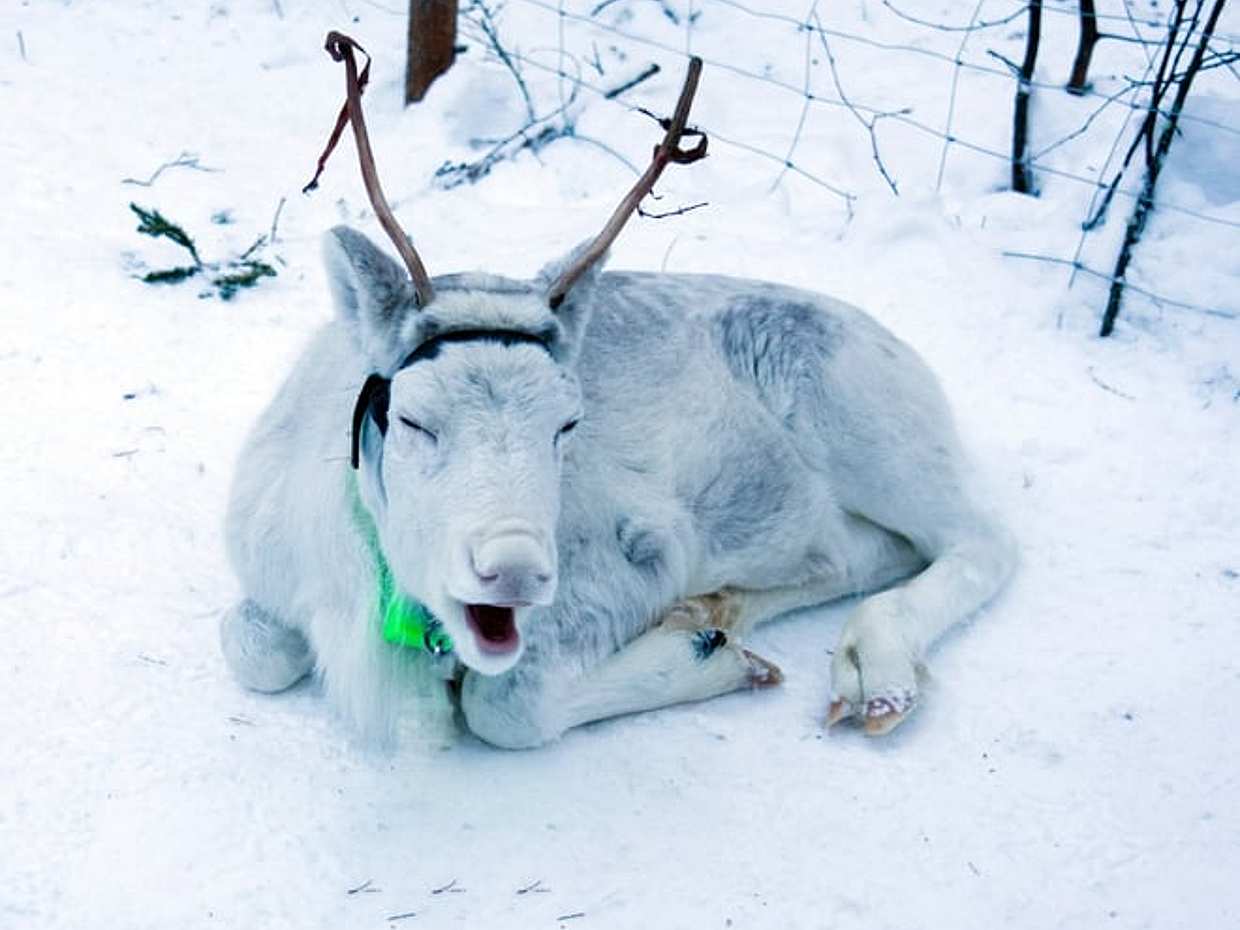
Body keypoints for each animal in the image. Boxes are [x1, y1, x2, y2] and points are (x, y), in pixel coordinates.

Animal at [221, 39, 1015, 748]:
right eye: (413, 419)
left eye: (567, 425)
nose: (515, 569)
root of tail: (907, 357)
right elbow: (250, 648)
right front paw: (712, 639)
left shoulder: (642, 554)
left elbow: (505, 707)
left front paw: (710, 657)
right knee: (867, 553)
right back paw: (723, 609)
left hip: (867, 426)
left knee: (984, 541)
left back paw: (869, 669)